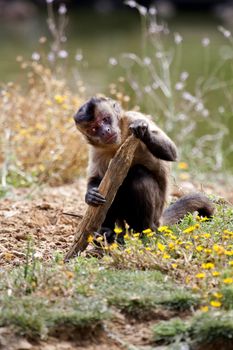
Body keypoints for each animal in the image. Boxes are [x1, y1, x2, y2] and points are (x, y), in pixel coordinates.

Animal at [73, 95, 214, 242]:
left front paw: (143, 131)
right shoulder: (97, 149)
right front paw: (90, 195)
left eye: (105, 119)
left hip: (155, 212)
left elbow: (172, 153)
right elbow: (96, 178)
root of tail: (158, 220)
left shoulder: (132, 117)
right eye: (94, 129)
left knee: (138, 175)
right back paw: (107, 232)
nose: (105, 131)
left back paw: (145, 232)